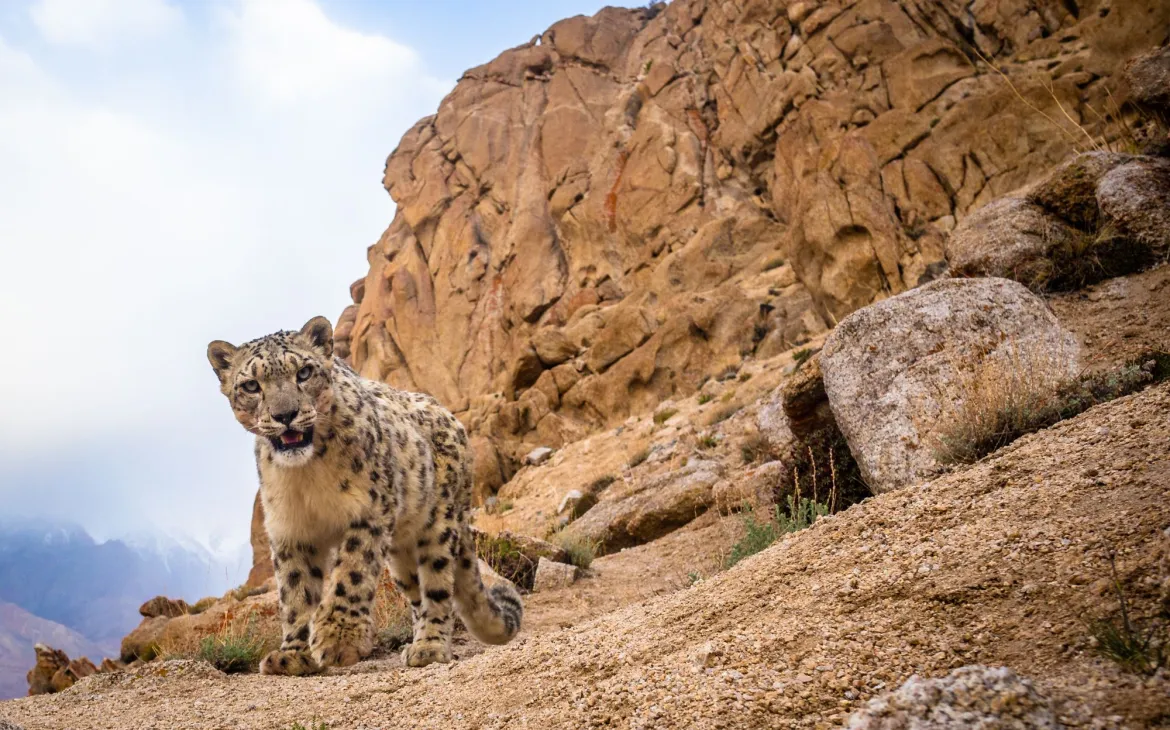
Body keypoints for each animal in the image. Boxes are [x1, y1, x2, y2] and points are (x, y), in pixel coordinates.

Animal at [206, 316, 522, 674]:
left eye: (304, 372)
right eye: (250, 386)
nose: (285, 415)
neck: (307, 474)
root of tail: (454, 421)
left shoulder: (369, 509)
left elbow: (352, 571)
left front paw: (338, 638)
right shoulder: (291, 530)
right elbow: (296, 591)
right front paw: (292, 654)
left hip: (438, 525)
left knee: (438, 587)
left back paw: (429, 647)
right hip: (401, 552)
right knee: (416, 594)